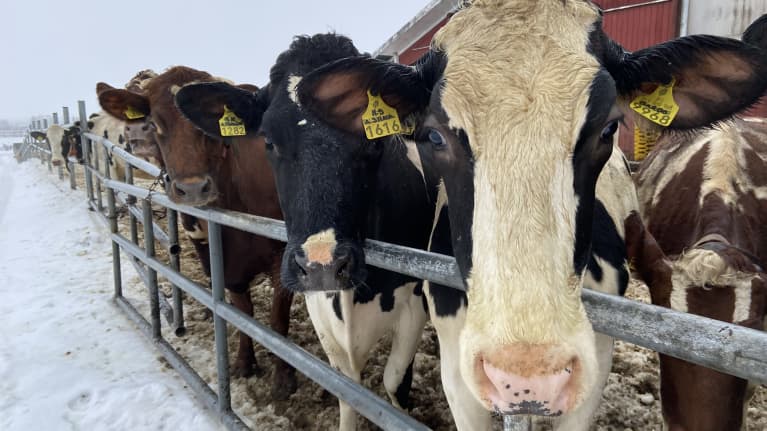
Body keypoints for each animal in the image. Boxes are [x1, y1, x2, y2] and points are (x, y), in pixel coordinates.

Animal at [95, 66, 298, 400]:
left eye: (211, 124)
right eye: (154, 123)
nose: (191, 188)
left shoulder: (283, 258)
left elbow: (277, 320)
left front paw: (283, 378)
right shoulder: (226, 265)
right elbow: (242, 313)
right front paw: (244, 362)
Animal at [174, 34, 434, 430]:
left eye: (373, 141)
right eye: (267, 140)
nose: (321, 264)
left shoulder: (414, 303)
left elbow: (394, 384)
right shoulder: (318, 307)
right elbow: (347, 390)